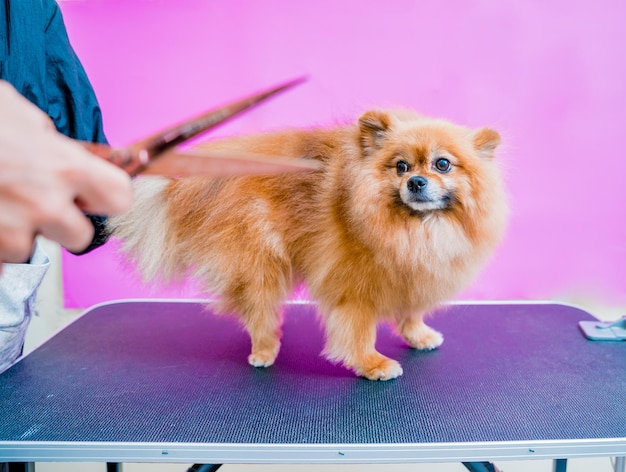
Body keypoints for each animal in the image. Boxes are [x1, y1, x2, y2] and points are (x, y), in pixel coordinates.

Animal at [109, 109, 504, 380]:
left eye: (443, 164)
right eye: (401, 166)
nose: (416, 182)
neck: (415, 228)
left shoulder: (411, 274)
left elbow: (410, 312)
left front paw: (419, 336)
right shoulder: (354, 286)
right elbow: (359, 332)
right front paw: (373, 364)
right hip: (261, 261)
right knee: (259, 309)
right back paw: (264, 349)